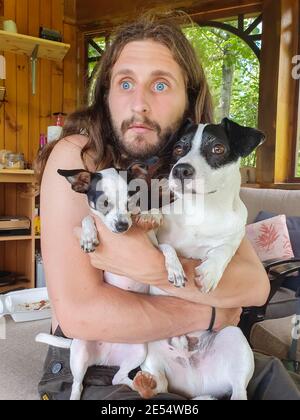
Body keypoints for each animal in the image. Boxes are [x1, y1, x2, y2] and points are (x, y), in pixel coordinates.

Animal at [37, 118, 264, 400]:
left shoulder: (171, 243)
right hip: (83, 351)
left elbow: (189, 250)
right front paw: (89, 235)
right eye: (103, 203)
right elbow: (88, 218)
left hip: (185, 345)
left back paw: (142, 381)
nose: (122, 225)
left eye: (218, 148)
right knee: (83, 383)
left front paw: (187, 269)